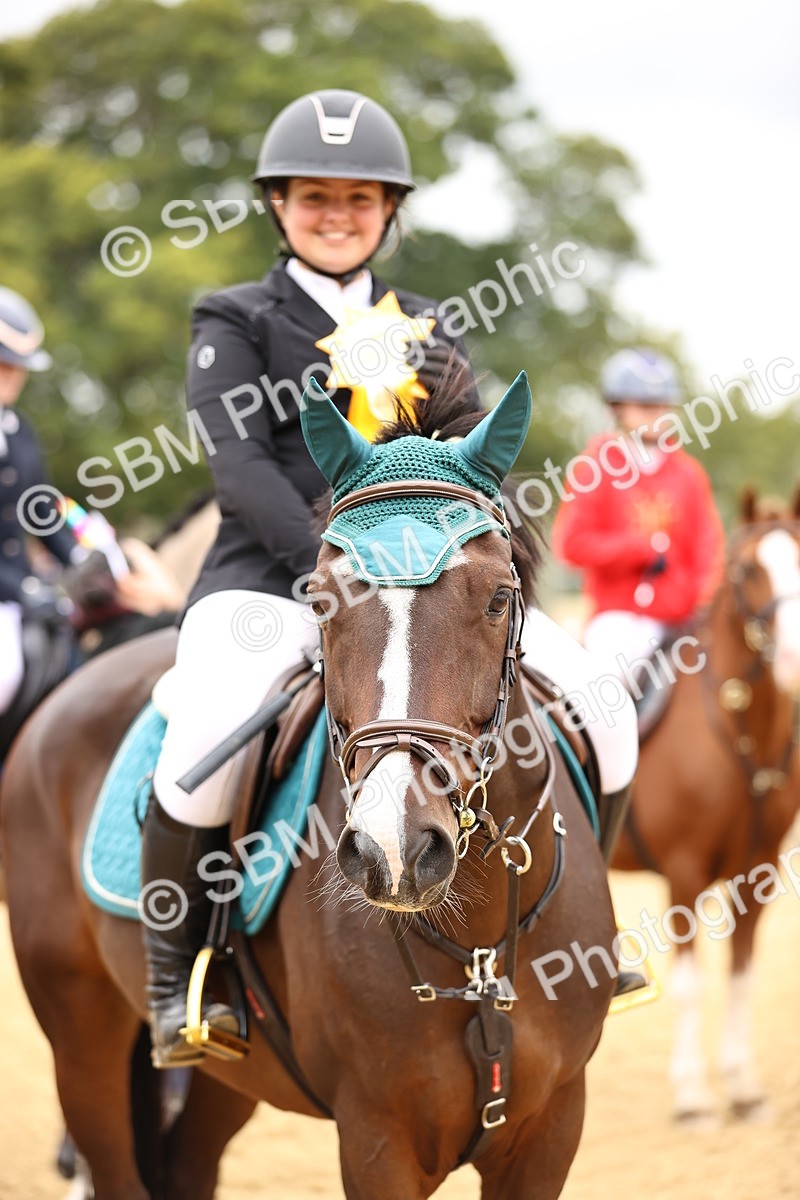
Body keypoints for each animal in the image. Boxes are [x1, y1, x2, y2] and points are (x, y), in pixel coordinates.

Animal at [1, 371, 617, 1199]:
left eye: (496, 597)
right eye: (321, 598)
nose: (395, 849)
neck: (482, 947)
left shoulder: (552, 1127)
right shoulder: (377, 1136)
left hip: (232, 1076)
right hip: (79, 1030)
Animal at [612, 488, 800, 1125]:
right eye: (746, 571)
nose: (795, 656)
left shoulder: (757, 873)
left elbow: (741, 975)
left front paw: (743, 1088)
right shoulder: (685, 872)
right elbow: (691, 984)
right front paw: (693, 1095)